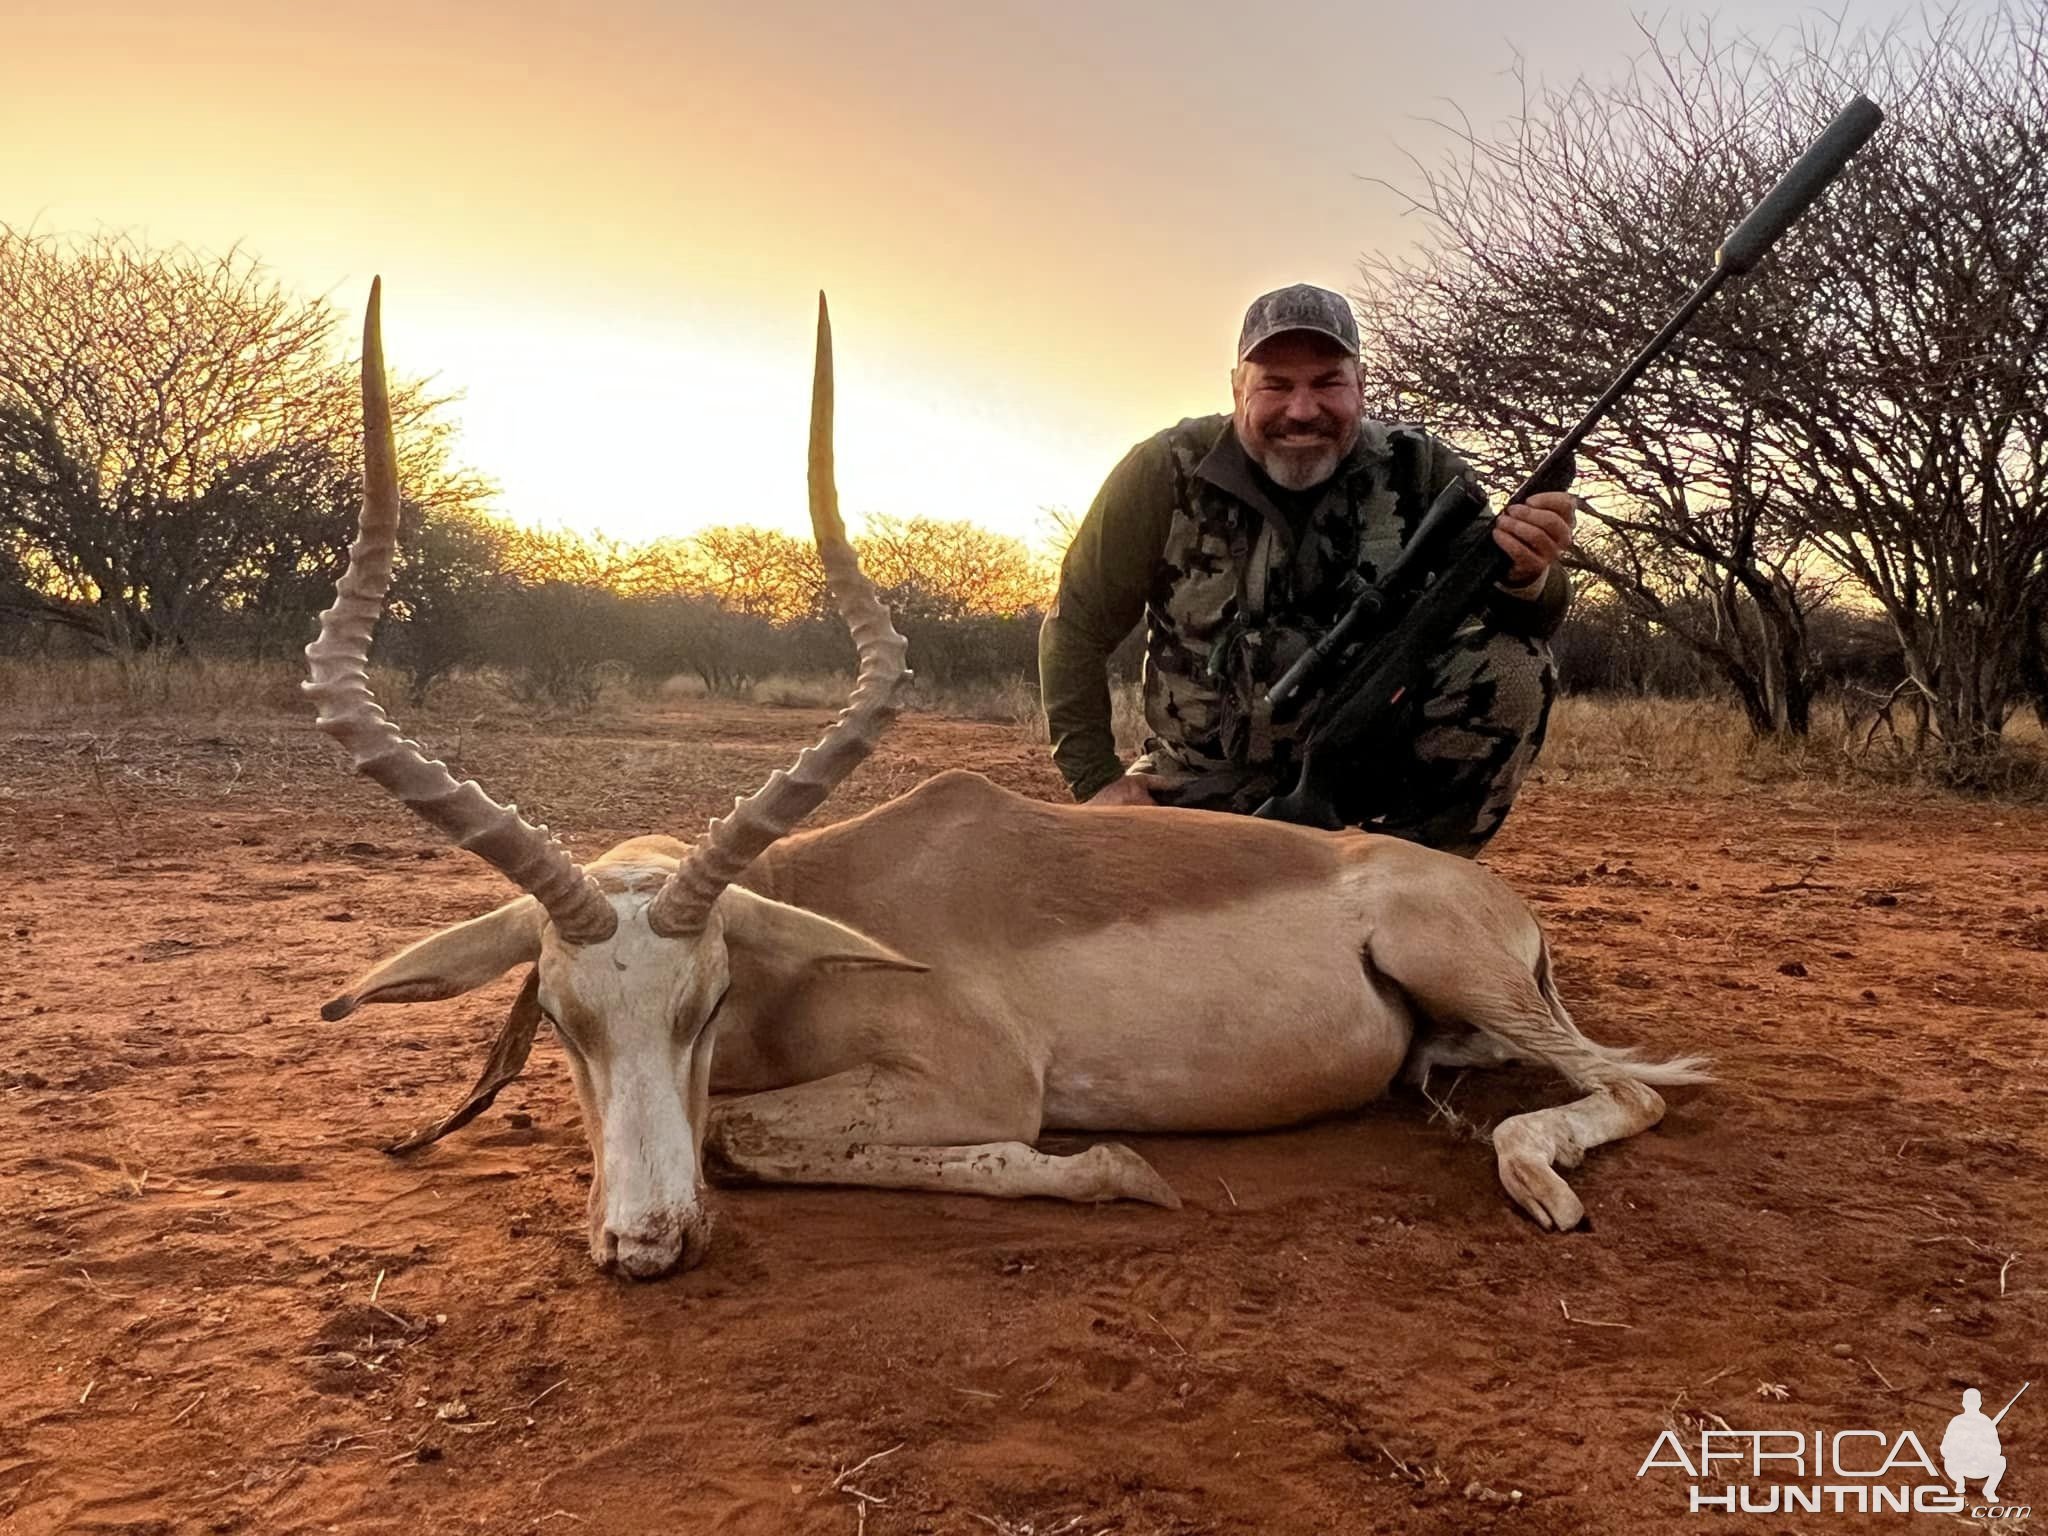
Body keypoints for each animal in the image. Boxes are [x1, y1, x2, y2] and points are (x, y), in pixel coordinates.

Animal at [307, 282, 1712, 1277]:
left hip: (1456, 966)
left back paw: (1533, 1179)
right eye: (557, 1017)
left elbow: (737, 1134)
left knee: (1632, 1088)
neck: (828, 928)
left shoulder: (978, 1082)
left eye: (706, 1002)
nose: (645, 1245)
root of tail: (1478, 899)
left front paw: (1115, 1171)